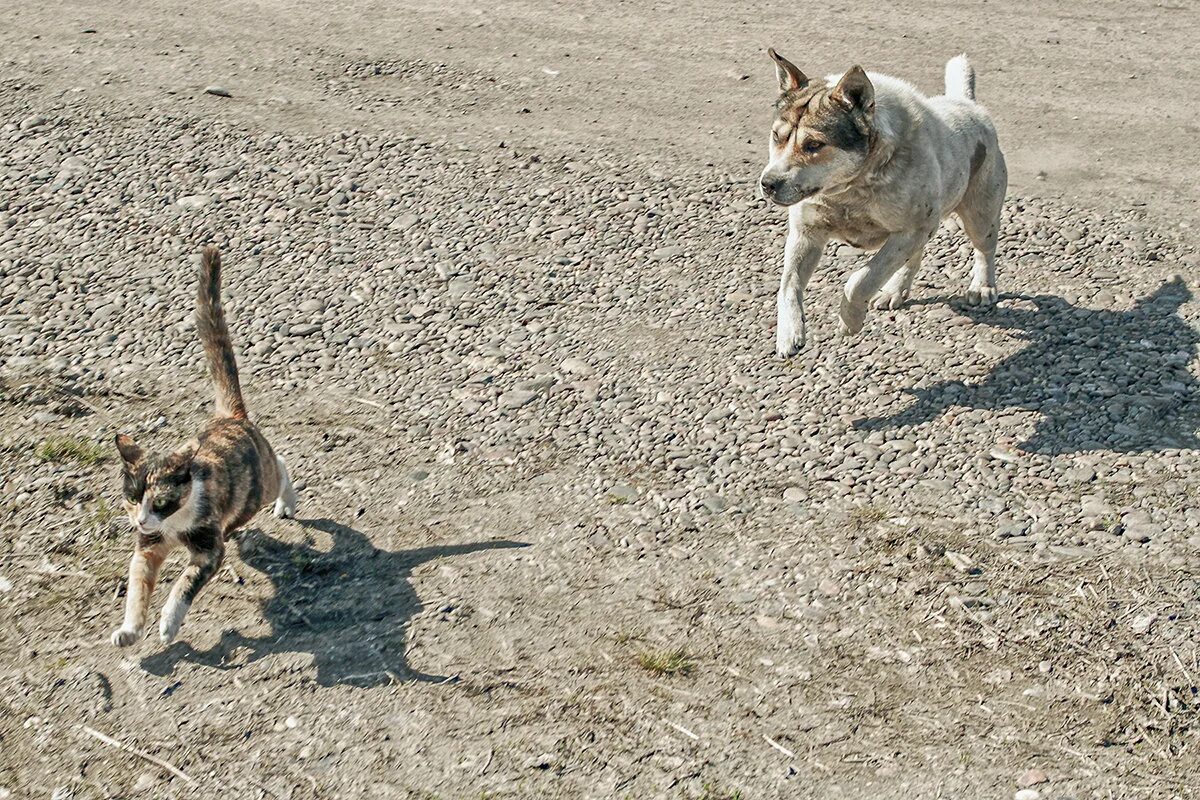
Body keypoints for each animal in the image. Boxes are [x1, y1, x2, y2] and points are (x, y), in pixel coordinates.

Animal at [111, 247, 297, 647]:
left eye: (160, 502)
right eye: (132, 498)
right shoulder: (147, 547)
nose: (141, 519)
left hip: (260, 487)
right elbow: (137, 588)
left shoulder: (209, 551)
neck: (173, 526)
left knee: (281, 463)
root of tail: (231, 417)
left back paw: (286, 503)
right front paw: (130, 630)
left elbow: (184, 584)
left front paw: (168, 623)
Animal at [763, 49, 1008, 357]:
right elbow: (788, 285)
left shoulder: (909, 232)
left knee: (983, 249)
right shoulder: (806, 234)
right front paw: (789, 335)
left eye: (814, 145)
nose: (768, 184)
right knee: (914, 258)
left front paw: (850, 321)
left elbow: (860, 281)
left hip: (979, 215)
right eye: (777, 136)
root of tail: (967, 103)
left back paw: (982, 288)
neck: (849, 191)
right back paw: (894, 292)